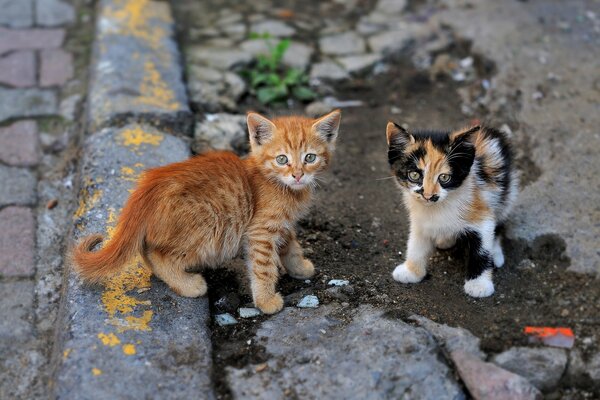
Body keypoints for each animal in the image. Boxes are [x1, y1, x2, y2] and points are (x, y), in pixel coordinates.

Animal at [69, 110, 340, 316]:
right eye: (282, 159)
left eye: (310, 157)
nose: (298, 175)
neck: (280, 186)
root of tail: (146, 190)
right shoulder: (261, 232)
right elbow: (263, 267)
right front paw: (266, 301)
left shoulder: (282, 225)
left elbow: (291, 245)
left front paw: (300, 268)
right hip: (210, 229)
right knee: (157, 254)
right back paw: (189, 285)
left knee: (146, 250)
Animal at [386, 122, 516, 296]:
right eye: (414, 175)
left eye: (444, 178)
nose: (428, 195)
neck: (439, 207)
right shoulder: (419, 220)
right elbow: (416, 243)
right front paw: (411, 271)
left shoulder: (482, 215)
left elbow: (481, 250)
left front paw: (479, 285)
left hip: (506, 194)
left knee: (500, 221)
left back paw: (496, 254)